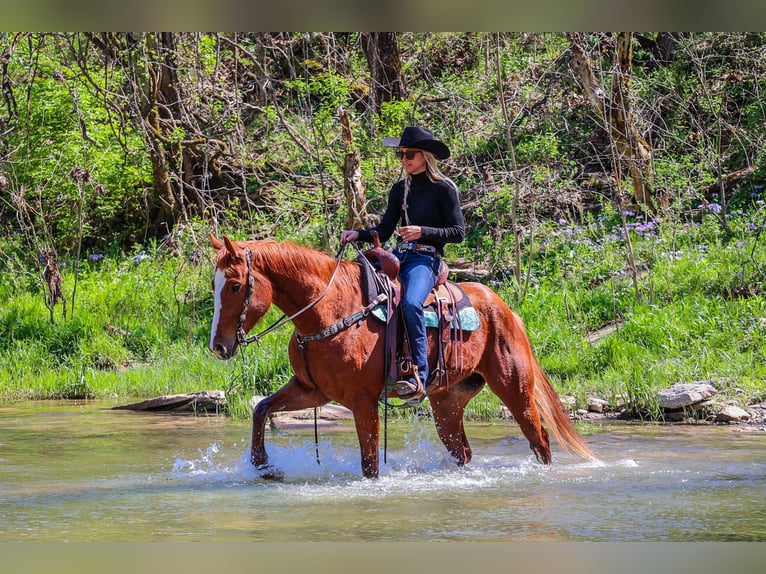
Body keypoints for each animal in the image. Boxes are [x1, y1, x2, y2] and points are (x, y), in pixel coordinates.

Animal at [210, 235, 600, 482]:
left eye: (235, 286)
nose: (218, 346)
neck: (328, 310)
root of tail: (506, 310)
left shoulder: (362, 402)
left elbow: (370, 465)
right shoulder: (311, 391)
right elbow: (261, 409)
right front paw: (264, 467)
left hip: (514, 389)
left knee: (540, 440)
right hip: (448, 403)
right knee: (462, 451)